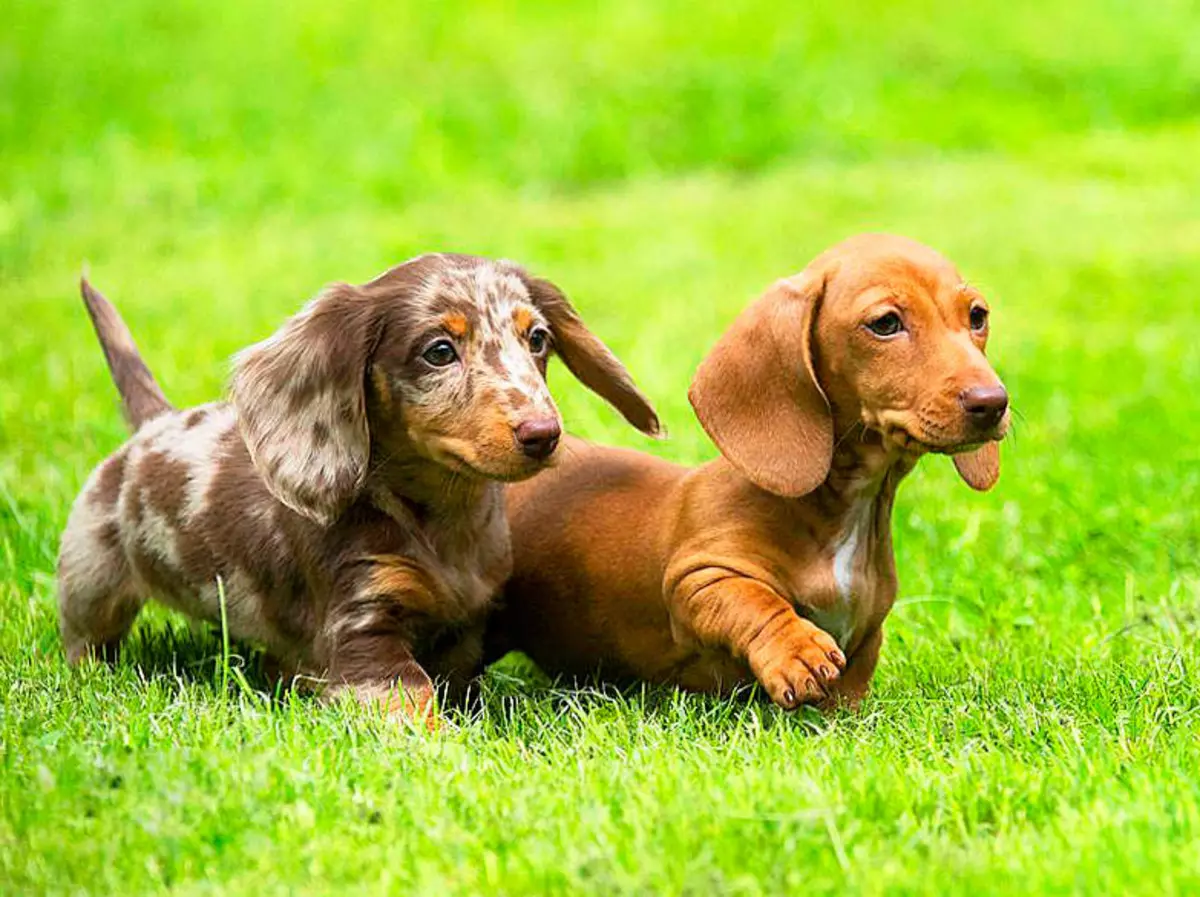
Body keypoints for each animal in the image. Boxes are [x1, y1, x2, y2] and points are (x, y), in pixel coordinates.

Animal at [60, 251, 662, 719]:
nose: (544, 434)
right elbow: (416, 707)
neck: (443, 524)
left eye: (537, 339)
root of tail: (153, 424)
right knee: (84, 640)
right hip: (91, 582)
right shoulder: (364, 631)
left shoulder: (464, 631)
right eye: (439, 351)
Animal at [492, 235, 1008, 709]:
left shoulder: (868, 630)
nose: (993, 403)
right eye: (885, 324)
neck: (840, 509)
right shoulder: (698, 576)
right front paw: (797, 651)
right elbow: (756, 600)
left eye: (977, 316)